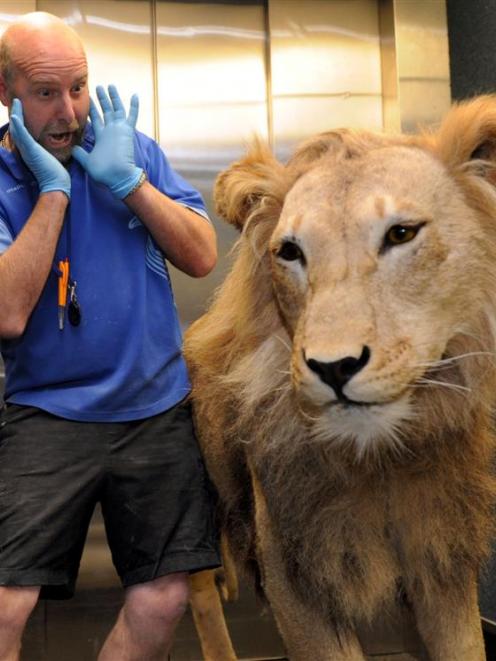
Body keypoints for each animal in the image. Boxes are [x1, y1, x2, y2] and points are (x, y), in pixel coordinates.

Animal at [183, 94, 496, 660]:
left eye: (401, 234)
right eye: (290, 252)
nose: (333, 367)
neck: (383, 462)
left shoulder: (442, 558)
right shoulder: (294, 572)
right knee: (197, 590)